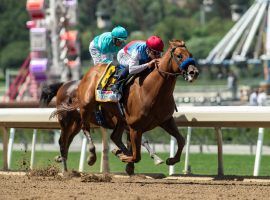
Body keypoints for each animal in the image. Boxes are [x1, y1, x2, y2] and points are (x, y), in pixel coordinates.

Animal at [66, 39, 198, 173]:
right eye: (179, 56)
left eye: (191, 55)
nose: (194, 72)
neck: (151, 90)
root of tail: (91, 70)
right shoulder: (135, 127)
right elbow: (136, 156)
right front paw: (123, 156)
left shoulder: (166, 120)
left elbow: (181, 140)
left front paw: (171, 160)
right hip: (86, 106)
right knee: (85, 128)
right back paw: (92, 156)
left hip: (120, 118)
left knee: (115, 136)